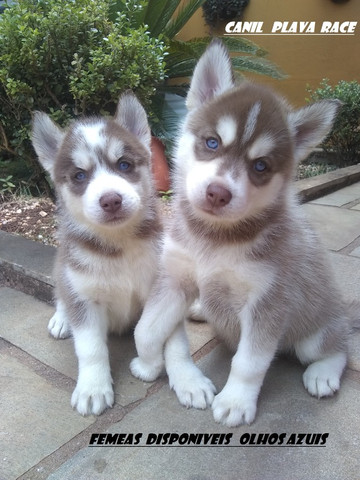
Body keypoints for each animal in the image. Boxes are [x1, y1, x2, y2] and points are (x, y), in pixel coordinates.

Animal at [31, 92, 161, 414]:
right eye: (79, 175)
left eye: (124, 165)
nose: (111, 200)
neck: (118, 245)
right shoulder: (85, 299)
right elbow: (90, 349)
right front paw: (93, 388)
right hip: (63, 269)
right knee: (62, 293)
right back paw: (62, 319)